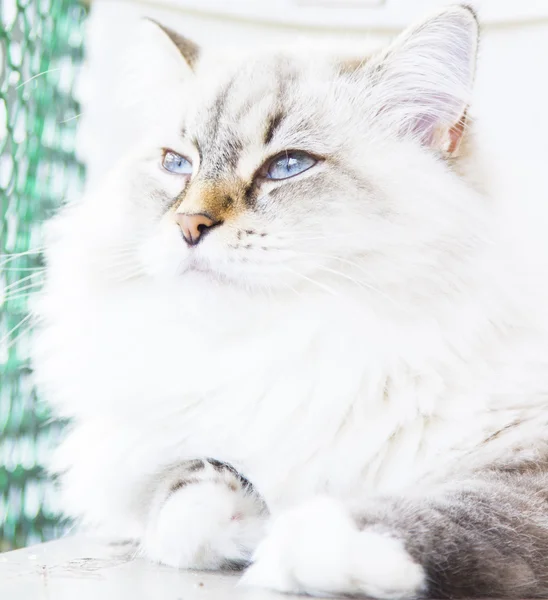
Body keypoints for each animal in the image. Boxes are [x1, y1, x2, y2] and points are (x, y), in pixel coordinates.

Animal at [33, 5, 548, 600]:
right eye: (176, 164)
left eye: (288, 166)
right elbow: (183, 502)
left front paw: (307, 542)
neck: (304, 350)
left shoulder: (526, 454)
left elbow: (464, 510)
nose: (188, 225)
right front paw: (253, 521)